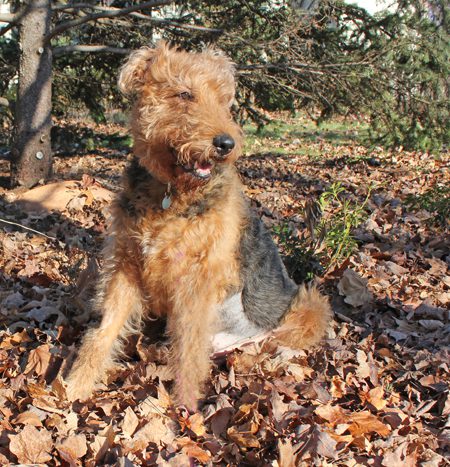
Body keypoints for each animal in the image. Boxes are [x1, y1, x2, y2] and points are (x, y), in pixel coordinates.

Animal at [65, 43, 332, 410]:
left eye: (224, 100)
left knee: (270, 338)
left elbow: (189, 351)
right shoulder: (126, 266)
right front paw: (76, 385)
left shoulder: (196, 280)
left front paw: (186, 408)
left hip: (309, 304)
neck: (170, 194)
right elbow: (104, 331)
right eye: (184, 93)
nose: (226, 145)